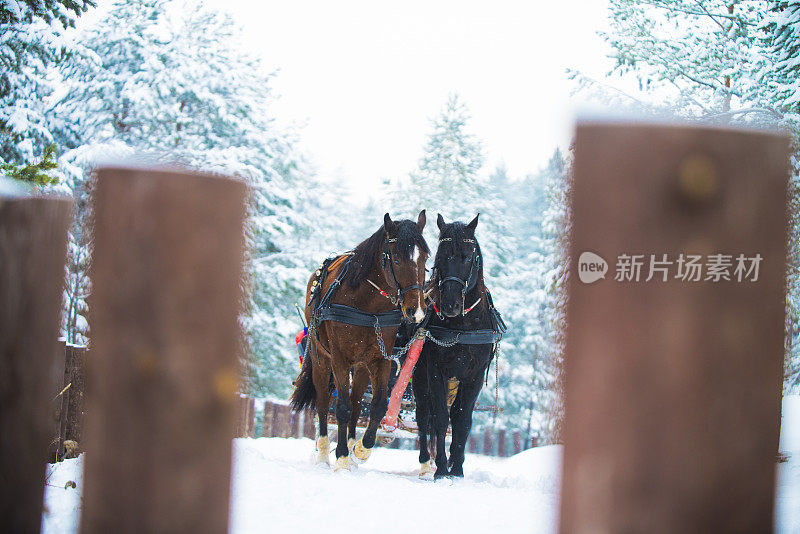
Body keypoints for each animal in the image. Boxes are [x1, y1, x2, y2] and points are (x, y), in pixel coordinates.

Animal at [290, 214, 428, 474]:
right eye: (396, 259)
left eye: (425, 258)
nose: (416, 311)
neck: (368, 307)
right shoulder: (340, 359)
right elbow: (341, 407)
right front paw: (342, 458)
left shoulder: (380, 360)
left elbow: (376, 407)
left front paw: (360, 450)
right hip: (321, 358)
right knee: (323, 402)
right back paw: (324, 454)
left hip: (362, 367)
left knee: (356, 404)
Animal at [412, 214, 506, 482]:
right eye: (440, 257)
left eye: (468, 257)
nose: (451, 304)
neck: (463, 325)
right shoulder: (436, 371)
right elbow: (441, 419)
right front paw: (442, 469)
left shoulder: (474, 375)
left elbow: (462, 419)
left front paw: (458, 468)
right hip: (419, 377)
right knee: (424, 416)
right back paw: (426, 462)